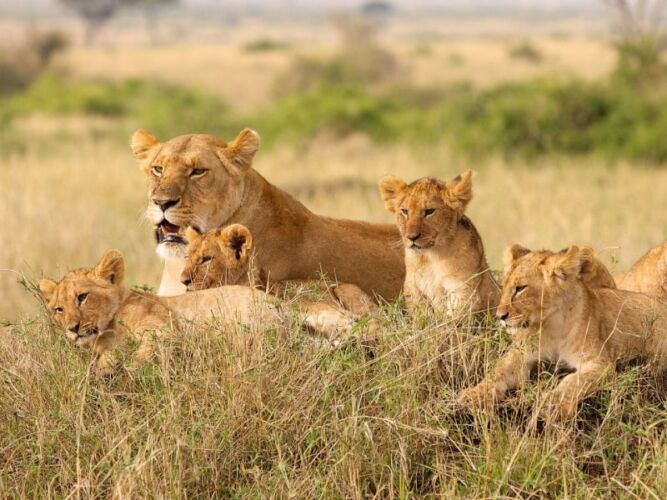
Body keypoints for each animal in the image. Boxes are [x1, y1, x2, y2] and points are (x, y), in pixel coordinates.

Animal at [38, 250, 357, 377]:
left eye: (82, 297)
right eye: (58, 309)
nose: (71, 328)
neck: (108, 328)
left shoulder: (165, 330)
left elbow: (143, 354)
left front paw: (128, 370)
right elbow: (105, 361)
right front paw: (102, 372)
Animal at [378, 171, 500, 316]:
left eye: (429, 211)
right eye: (405, 211)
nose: (411, 237)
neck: (432, 255)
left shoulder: (462, 288)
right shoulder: (413, 288)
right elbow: (421, 315)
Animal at [457, 244, 667, 421]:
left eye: (521, 288)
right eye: (504, 287)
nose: (500, 316)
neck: (551, 325)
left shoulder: (600, 363)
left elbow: (571, 381)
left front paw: (551, 404)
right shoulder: (520, 354)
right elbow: (497, 372)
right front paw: (473, 394)